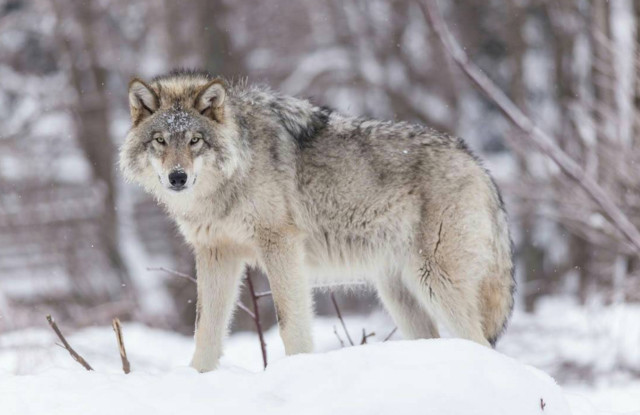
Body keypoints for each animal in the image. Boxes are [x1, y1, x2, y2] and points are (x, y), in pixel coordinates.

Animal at [119, 69, 516, 374]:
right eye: (160, 140)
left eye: (195, 140)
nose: (177, 177)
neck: (231, 177)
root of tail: (478, 164)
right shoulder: (216, 253)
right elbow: (206, 329)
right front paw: (198, 376)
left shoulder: (280, 244)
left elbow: (289, 323)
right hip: (399, 292)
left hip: (435, 282)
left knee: (480, 342)